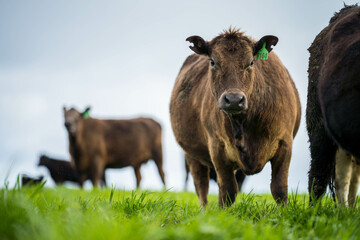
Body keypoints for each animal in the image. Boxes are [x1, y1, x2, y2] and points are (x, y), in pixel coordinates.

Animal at [170, 26, 300, 206]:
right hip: (192, 155)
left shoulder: (285, 143)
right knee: (201, 186)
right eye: (212, 62)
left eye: (251, 62)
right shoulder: (217, 147)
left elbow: (279, 188)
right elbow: (228, 190)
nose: (233, 100)